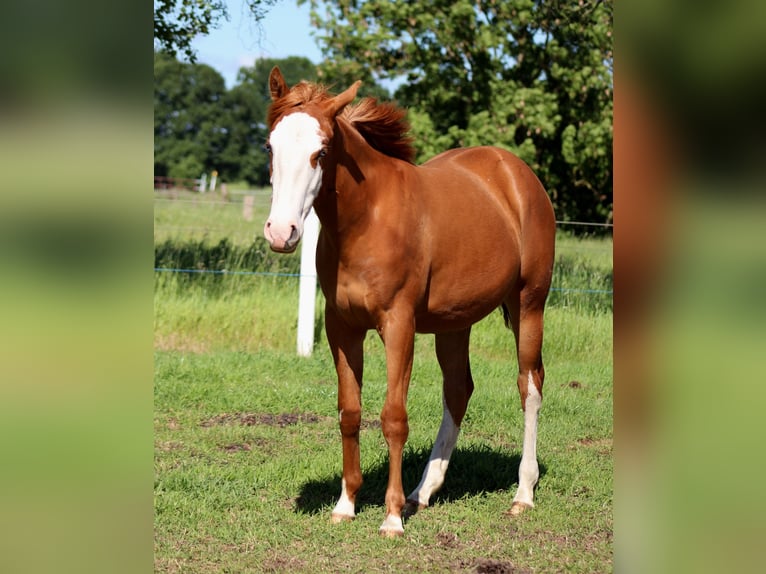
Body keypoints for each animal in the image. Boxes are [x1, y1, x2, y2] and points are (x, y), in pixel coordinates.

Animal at [263, 67, 556, 537]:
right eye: (271, 146)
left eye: (321, 151)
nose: (281, 232)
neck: (367, 219)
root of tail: (515, 173)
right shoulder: (342, 327)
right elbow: (350, 412)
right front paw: (345, 504)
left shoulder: (398, 324)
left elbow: (393, 417)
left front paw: (392, 517)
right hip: (455, 322)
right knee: (458, 390)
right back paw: (424, 491)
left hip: (530, 304)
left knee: (529, 386)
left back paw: (522, 493)